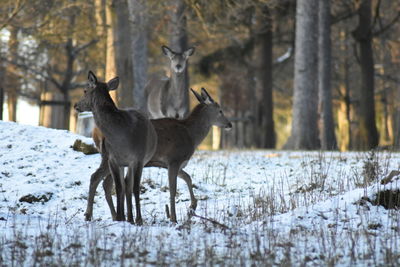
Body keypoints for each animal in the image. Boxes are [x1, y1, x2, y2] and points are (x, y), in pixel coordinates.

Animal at [74, 70, 157, 225]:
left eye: (85, 90)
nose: (76, 105)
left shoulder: (138, 159)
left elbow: (135, 188)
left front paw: (139, 219)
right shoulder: (113, 159)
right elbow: (118, 187)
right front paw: (120, 217)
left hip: (128, 162)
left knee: (127, 185)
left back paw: (129, 217)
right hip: (107, 157)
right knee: (106, 180)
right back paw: (95, 214)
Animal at [84, 87, 231, 223]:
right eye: (220, 110)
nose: (229, 124)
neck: (191, 136)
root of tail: (95, 133)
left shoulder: (170, 163)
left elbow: (188, 177)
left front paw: (192, 206)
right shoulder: (174, 159)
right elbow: (173, 188)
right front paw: (174, 218)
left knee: (106, 183)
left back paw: (114, 216)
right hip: (108, 157)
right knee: (96, 177)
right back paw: (89, 214)